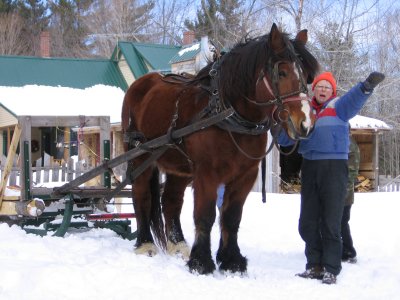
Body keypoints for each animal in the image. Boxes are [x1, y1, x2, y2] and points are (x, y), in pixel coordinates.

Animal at [121, 24, 318, 276]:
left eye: (308, 76)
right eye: (281, 72)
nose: (305, 124)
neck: (226, 111)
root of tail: (141, 83)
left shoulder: (245, 175)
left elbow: (231, 217)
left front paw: (231, 260)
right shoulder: (207, 174)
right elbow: (205, 216)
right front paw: (201, 262)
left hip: (179, 167)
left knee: (172, 200)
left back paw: (179, 244)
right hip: (140, 156)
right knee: (142, 195)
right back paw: (145, 244)